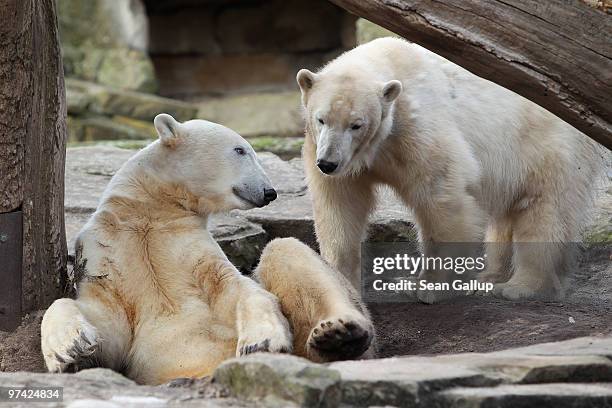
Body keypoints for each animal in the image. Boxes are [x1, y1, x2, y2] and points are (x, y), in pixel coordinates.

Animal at [40, 115, 372, 386]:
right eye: (240, 150)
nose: (269, 191)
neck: (149, 212)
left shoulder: (191, 248)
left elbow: (236, 288)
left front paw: (259, 342)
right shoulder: (108, 250)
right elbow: (108, 323)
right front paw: (69, 349)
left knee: (286, 250)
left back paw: (339, 333)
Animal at [296, 37, 604, 302]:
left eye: (356, 124)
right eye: (321, 119)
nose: (328, 163)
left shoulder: (416, 128)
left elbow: (442, 197)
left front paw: (429, 287)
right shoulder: (329, 153)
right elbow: (340, 208)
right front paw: (341, 283)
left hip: (546, 146)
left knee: (543, 210)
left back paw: (520, 286)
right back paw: (489, 278)